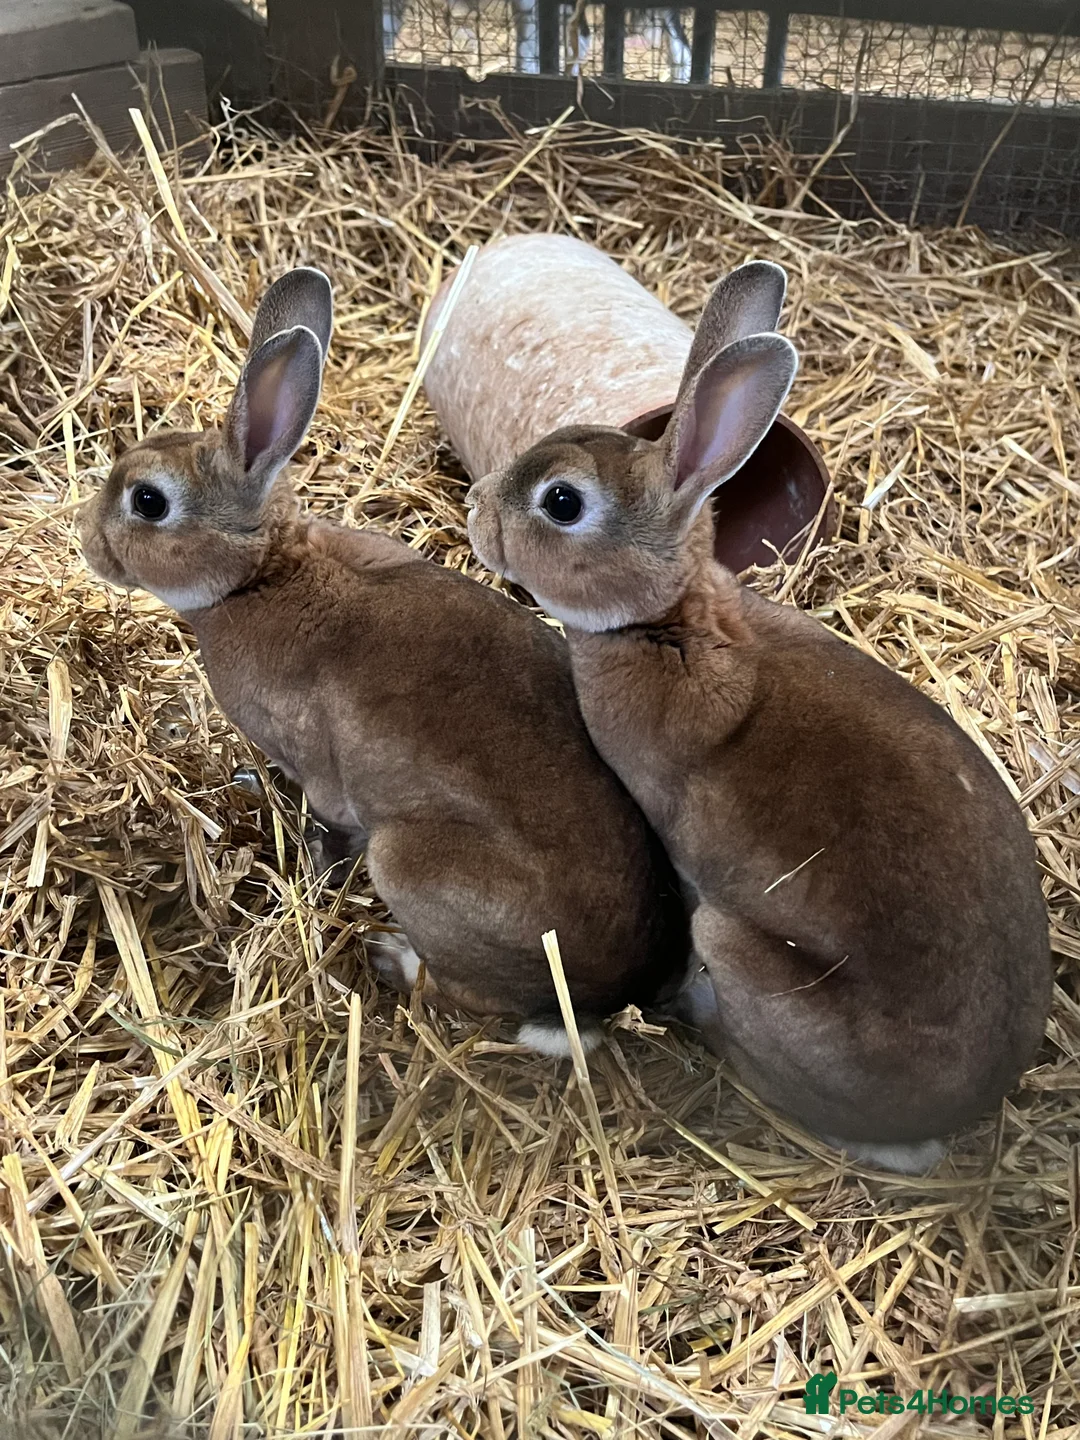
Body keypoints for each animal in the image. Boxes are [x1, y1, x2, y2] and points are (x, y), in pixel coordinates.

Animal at [78, 267, 690, 1051]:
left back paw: (392, 959)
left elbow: (326, 827)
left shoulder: (319, 771)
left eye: (147, 501)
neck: (261, 575)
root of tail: (614, 992)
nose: (89, 541)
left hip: (410, 867)